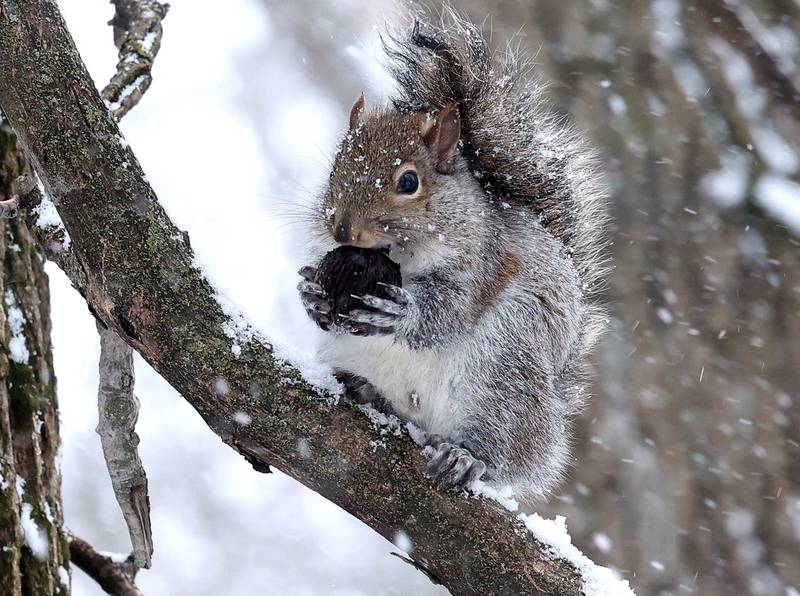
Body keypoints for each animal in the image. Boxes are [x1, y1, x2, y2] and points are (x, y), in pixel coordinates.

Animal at [297, 12, 607, 498]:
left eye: (409, 182)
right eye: (335, 168)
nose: (342, 228)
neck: (400, 253)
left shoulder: (484, 262)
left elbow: (451, 310)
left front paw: (399, 311)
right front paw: (312, 294)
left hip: (506, 367)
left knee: (503, 448)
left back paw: (468, 457)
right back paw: (364, 389)